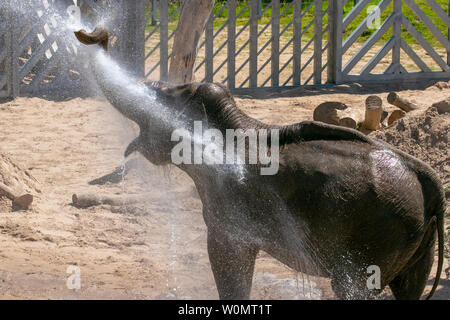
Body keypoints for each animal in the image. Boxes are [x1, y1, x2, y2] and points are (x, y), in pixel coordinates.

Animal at [74, 28, 446, 300]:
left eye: (162, 97)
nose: (93, 33)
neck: (236, 121)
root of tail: (430, 184)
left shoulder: (229, 212)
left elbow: (228, 261)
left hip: (378, 236)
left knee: (354, 287)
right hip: (417, 243)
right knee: (409, 287)